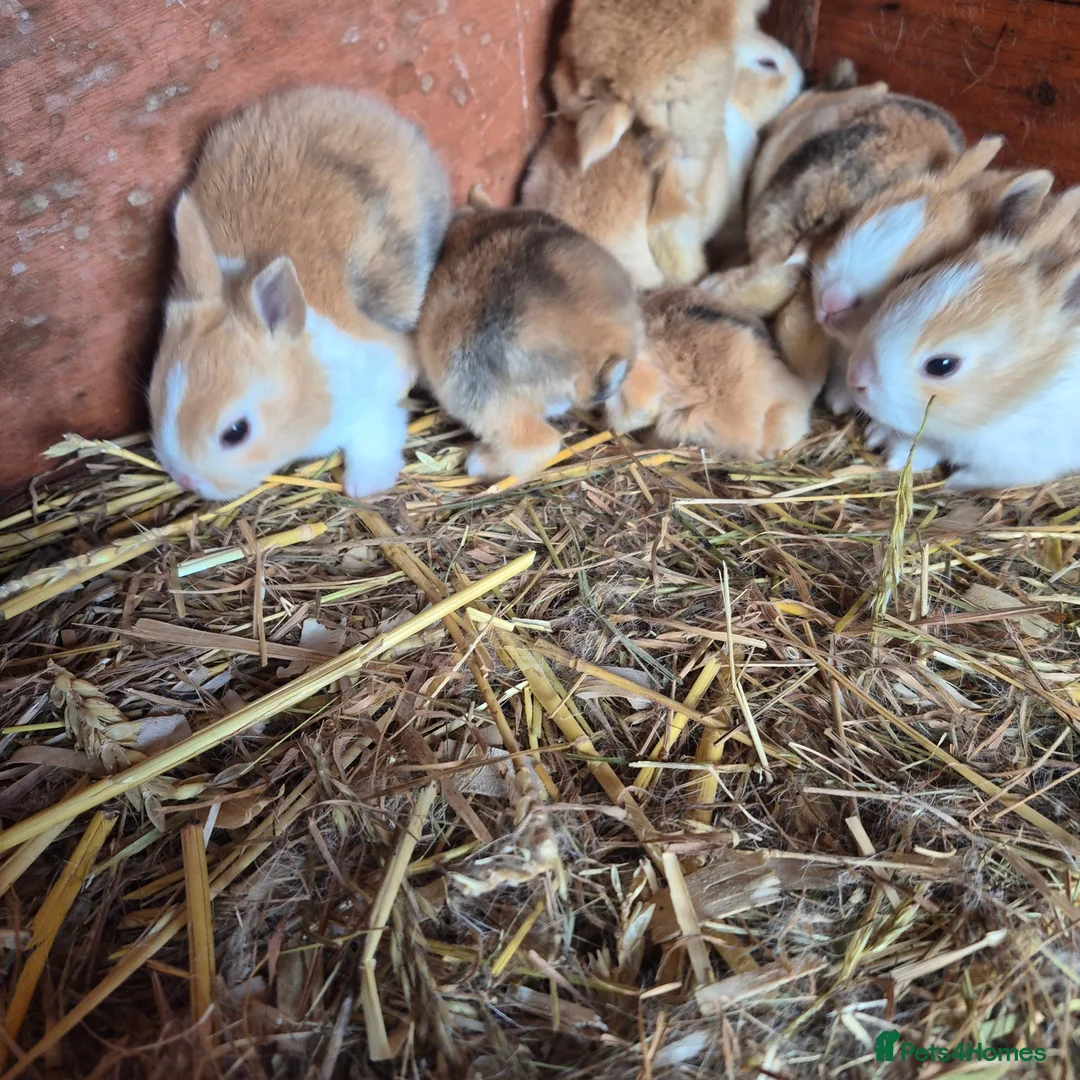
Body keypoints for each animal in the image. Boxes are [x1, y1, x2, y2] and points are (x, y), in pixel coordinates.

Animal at [148, 87, 451, 502]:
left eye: (235, 432)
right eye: (153, 394)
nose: (185, 480)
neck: (309, 378)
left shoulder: (381, 389)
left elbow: (376, 436)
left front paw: (364, 486)